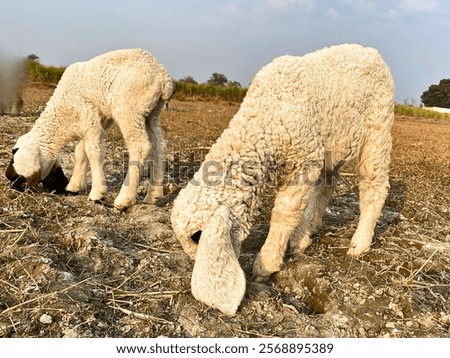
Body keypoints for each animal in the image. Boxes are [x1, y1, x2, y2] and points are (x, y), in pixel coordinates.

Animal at [6, 48, 173, 210]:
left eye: (19, 179)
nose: (11, 182)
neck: (61, 114)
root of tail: (164, 79)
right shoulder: (97, 119)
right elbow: (80, 151)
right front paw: (74, 186)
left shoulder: (88, 116)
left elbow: (93, 152)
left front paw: (97, 193)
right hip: (153, 112)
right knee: (159, 147)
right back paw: (153, 195)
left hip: (129, 108)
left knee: (140, 145)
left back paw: (124, 199)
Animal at [171, 44, 396, 314]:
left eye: (197, 236)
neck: (265, 118)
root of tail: (370, 51)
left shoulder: (304, 158)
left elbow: (284, 213)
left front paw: (265, 265)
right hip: (334, 142)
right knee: (327, 184)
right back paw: (303, 236)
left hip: (378, 128)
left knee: (375, 184)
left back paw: (359, 243)